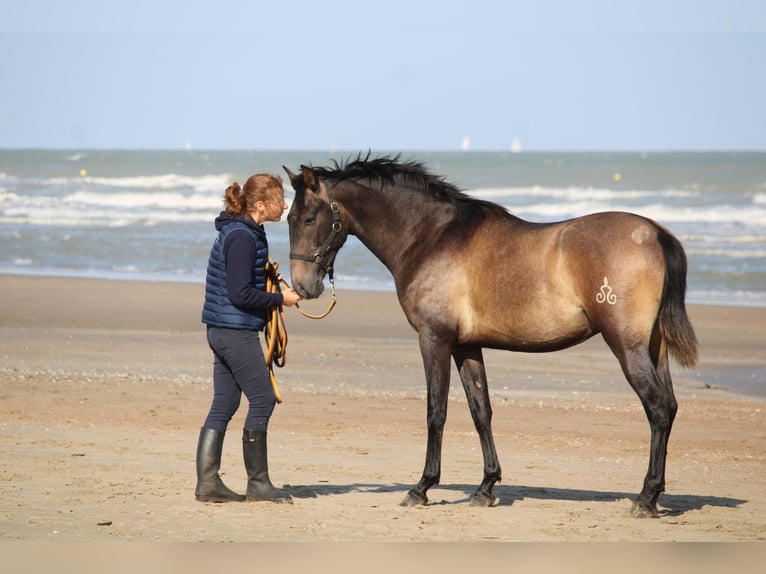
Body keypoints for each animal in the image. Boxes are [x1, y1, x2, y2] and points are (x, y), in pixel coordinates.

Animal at [283, 154, 698, 518]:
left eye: (308, 218)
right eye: (287, 217)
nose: (302, 287)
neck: (433, 239)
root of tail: (657, 234)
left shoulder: (435, 340)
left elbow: (436, 412)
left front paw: (422, 488)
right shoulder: (467, 346)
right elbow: (481, 411)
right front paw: (485, 488)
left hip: (626, 346)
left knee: (658, 408)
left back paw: (645, 498)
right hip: (654, 348)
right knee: (670, 407)